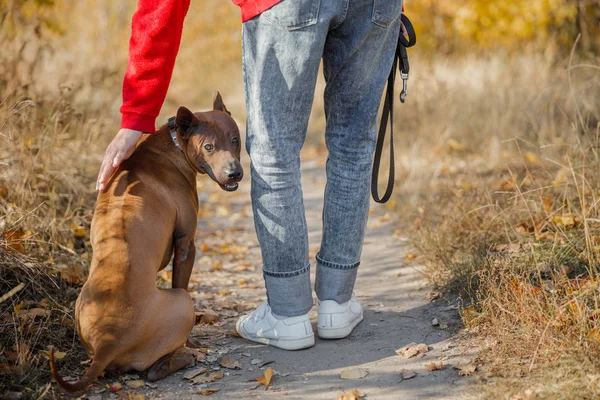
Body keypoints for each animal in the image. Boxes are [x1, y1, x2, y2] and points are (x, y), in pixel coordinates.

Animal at [49, 93, 241, 390]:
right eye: (209, 147)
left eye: (235, 140)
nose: (235, 173)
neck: (175, 144)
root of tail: (105, 345)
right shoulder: (186, 245)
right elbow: (181, 277)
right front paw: (194, 343)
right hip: (182, 301)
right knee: (154, 369)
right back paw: (186, 355)